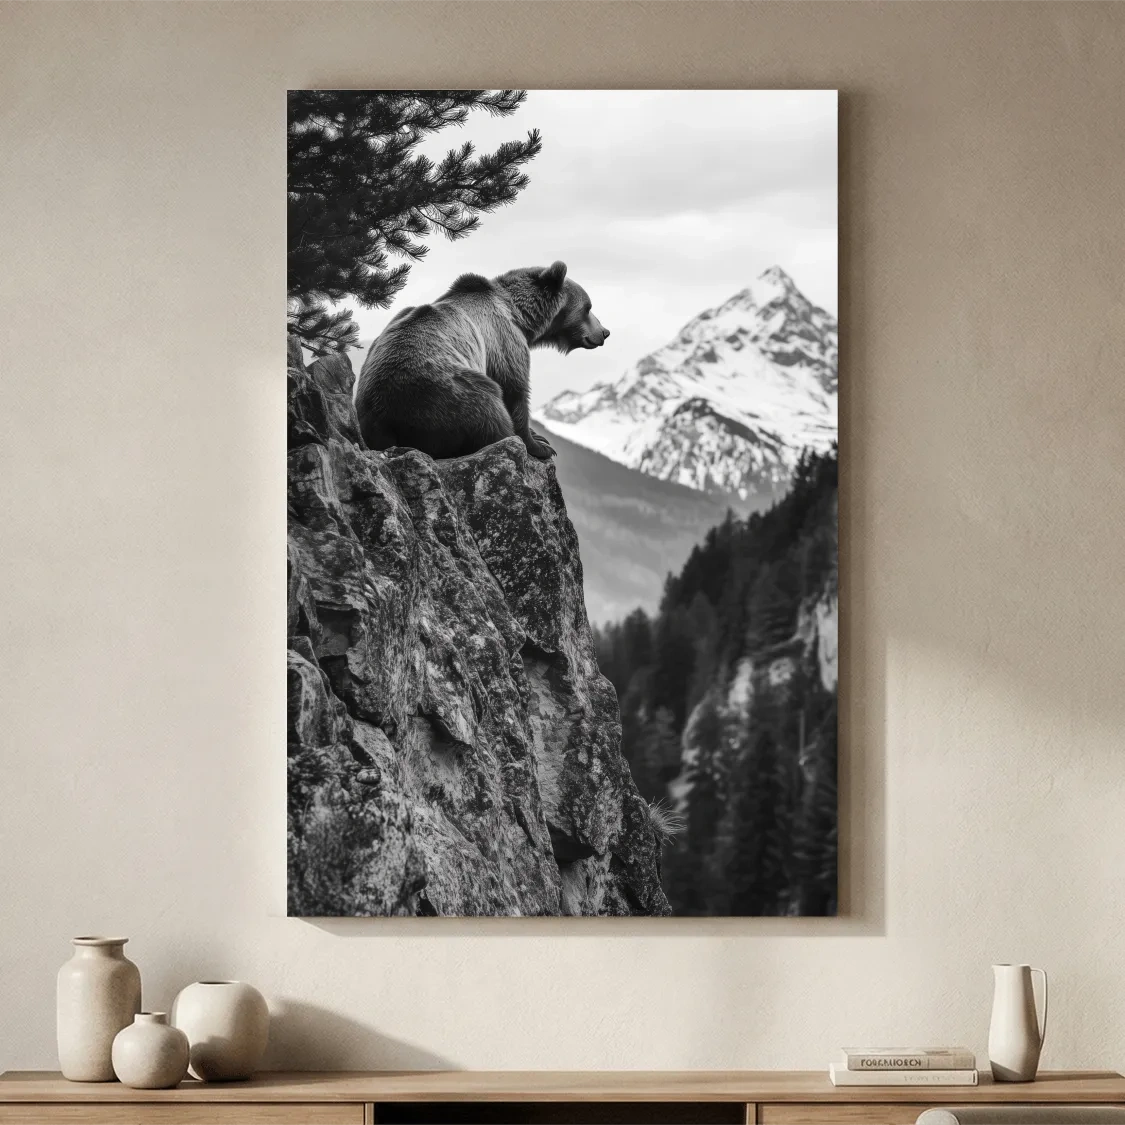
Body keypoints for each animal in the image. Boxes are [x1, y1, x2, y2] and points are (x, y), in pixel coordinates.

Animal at [354, 261, 609, 461]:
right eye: (588, 307)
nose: (605, 332)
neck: (521, 317)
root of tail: (383, 420)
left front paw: (539, 437)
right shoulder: (503, 340)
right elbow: (515, 389)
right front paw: (540, 445)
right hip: (444, 393)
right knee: (488, 407)